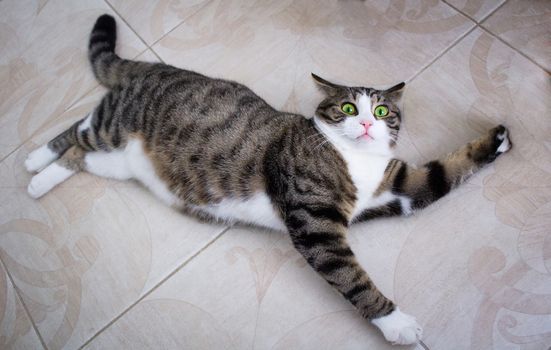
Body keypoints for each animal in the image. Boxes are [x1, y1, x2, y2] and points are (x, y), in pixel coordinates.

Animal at [23, 14, 512, 344]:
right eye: (348, 108)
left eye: (382, 110)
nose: (367, 124)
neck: (355, 158)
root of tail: (157, 68)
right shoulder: (315, 221)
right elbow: (352, 276)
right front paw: (396, 322)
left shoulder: (395, 188)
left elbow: (440, 176)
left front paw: (496, 141)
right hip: (115, 127)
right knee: (78, 131)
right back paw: (33, 163)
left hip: (119, 162)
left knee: (80, 156)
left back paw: (41, 176)